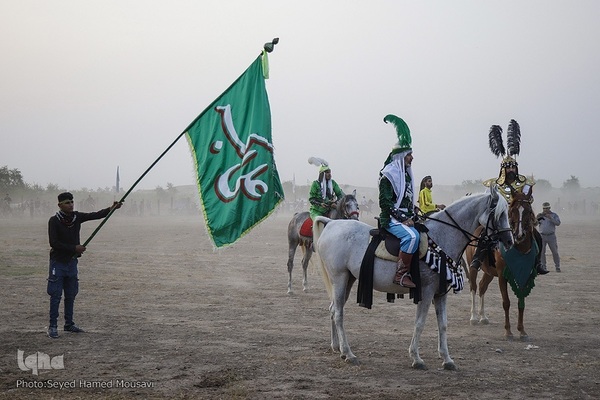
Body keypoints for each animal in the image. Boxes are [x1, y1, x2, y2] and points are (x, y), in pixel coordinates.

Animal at [312, 189, 512, 370]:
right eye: (499, 213)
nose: (509, 240)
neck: (440, 238)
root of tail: (332, 224)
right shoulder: (427, 291)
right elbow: (420, 323)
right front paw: (416, 358)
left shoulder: (440, 294)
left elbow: (443, 325)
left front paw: (447, 359)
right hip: (339, 279)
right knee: (338, 313)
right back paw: (349, 353)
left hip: (348, 280)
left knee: (333, 309)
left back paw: (338, 348)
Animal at [466, 189, 536, 340]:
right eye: (513, 210)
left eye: (528, 211)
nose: (519, 235)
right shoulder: (503, 276)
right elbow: (506, 302)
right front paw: (508, 331)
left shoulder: (523, 276)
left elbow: (521, 302)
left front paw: (522, 331)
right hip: (472, 266)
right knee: (473, 287)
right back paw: (474, 317)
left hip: (489, 272)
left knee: (482, 287)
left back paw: (483, 317)